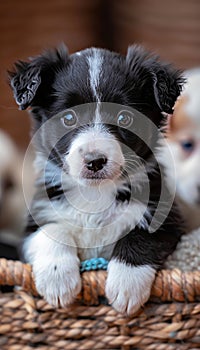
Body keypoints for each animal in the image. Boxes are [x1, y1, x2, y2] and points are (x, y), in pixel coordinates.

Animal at [9, 44, 184, 314]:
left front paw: (126, 284)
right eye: (69, 118)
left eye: (124, 118)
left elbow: (141, 235)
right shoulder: (34, 219)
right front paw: (57, 279)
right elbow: (52, 230)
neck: (95, 193)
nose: (95, 160)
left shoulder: (167, 216)